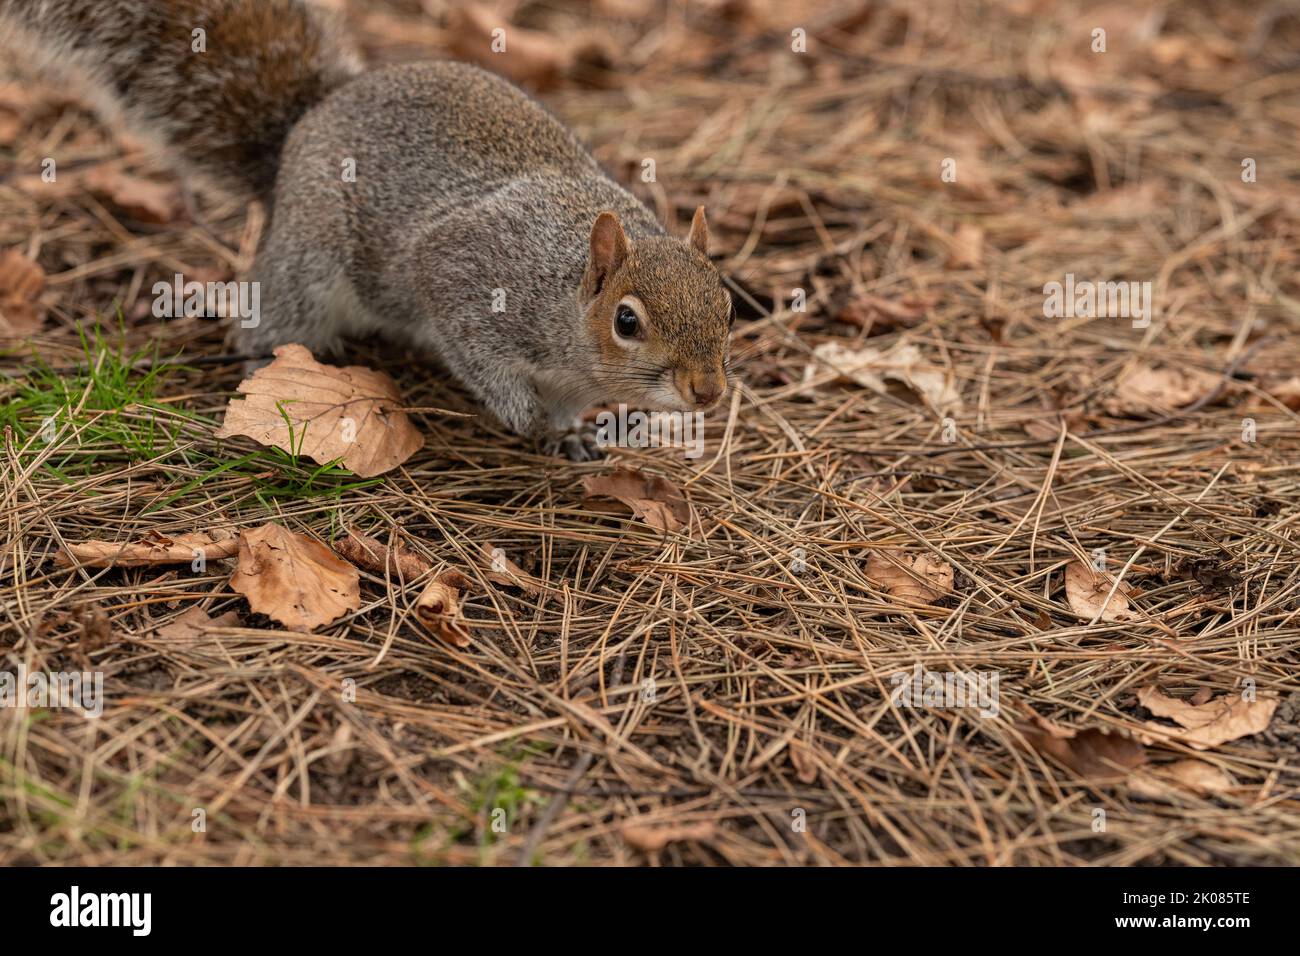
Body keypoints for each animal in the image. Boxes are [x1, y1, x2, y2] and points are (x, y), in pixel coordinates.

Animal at [0, 0, 735, 459]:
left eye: (726, 306)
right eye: (627, 322)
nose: (708, 391)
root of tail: (304, 126)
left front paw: (569, 433)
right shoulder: (465, 276)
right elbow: (475, 350)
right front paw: (522, 415)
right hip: (309, 267)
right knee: (273, 316)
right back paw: (272, 363)